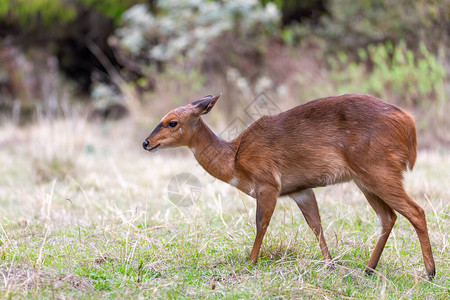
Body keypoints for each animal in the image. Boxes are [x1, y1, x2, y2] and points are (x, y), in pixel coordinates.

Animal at [143, 94, 436, 278]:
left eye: (172, 122)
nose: (146, 143)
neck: (235, 158)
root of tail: (408, 123)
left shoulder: (267, 185)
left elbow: (261, 224)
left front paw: (251, 263)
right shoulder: (300, 191)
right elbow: (316, 225)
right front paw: (329, 265)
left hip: (379, 172)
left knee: (416, 211)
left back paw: (430, 272)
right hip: (364, 180)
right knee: (388, 217)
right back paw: (368, 269)